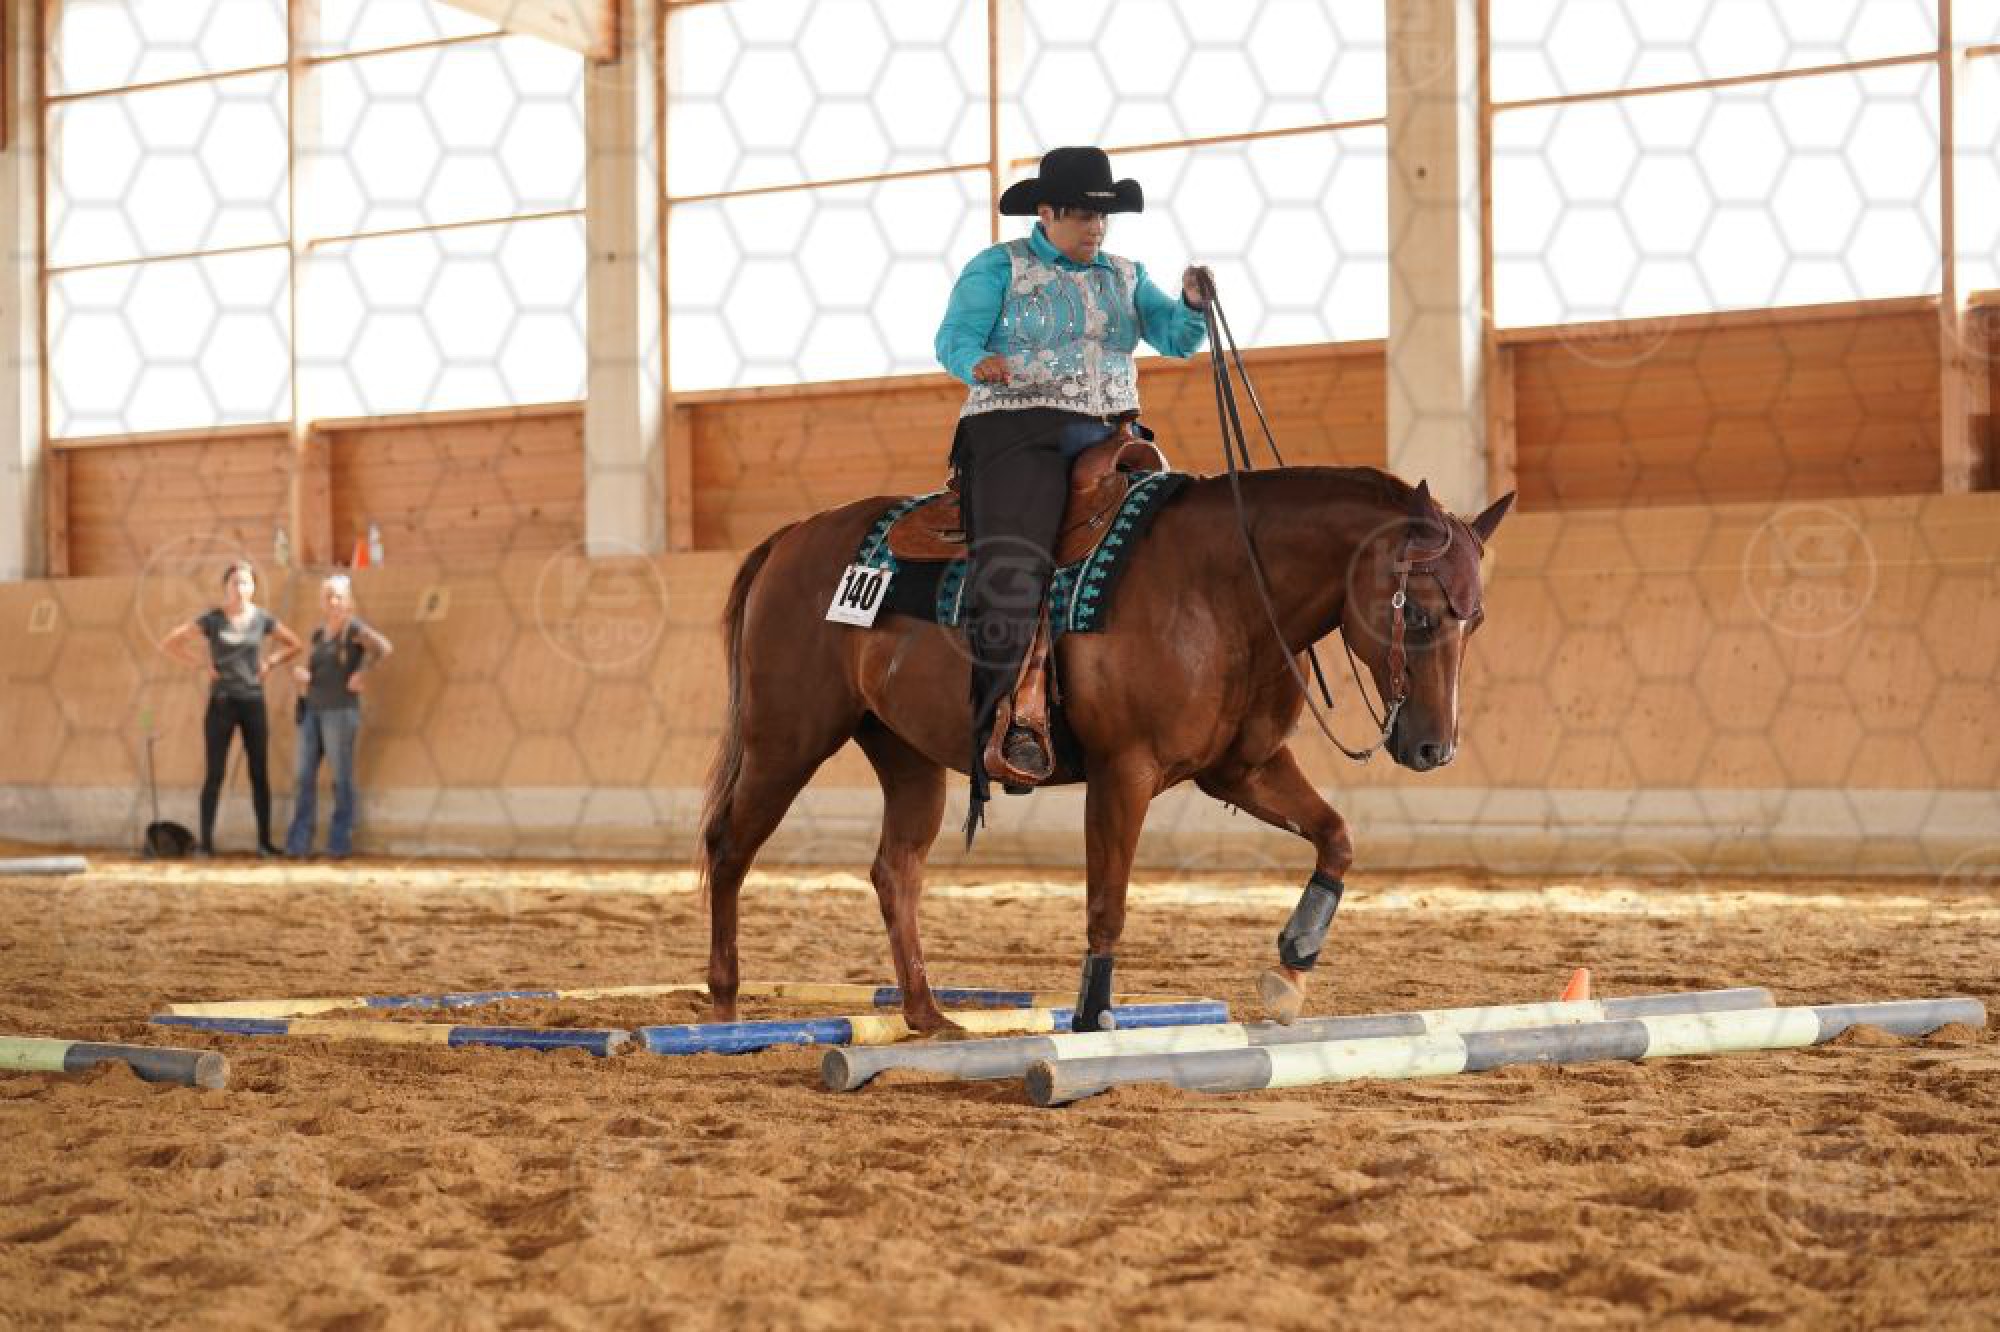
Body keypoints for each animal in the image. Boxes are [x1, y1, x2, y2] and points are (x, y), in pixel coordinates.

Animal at [698, 463, 1514, 1032]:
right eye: (1421, 610)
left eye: (1476, 620)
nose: (1433, 748)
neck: (1224, 587)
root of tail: (793, 537)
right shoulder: (1125, 772)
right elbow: (1107, 903)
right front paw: (1094, 1019)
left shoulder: (1240, 770)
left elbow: (1337, 838)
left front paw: (1291, 969)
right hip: (786, 739)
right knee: (730, 847)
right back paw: (726, 1006)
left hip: (906, 755)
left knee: (895, 873)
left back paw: (928, 1015)